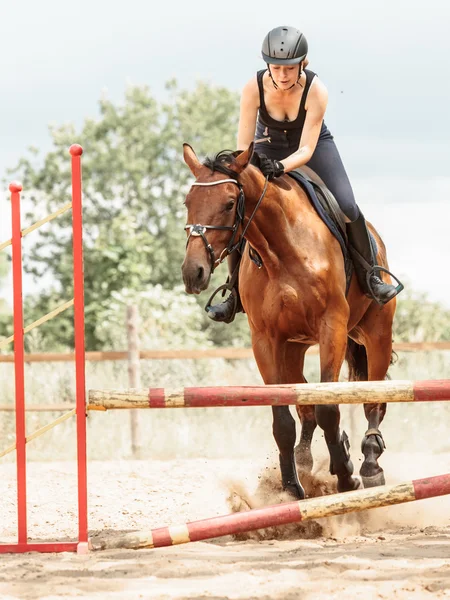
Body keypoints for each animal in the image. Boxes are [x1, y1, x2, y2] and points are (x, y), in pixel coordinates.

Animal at [181, 143, 396, 500]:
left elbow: (329, 408)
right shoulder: (265, 340)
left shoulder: (332, 328)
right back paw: (306, 461)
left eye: (229, 203)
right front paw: (292, 486)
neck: (281, 249)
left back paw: (369, 462)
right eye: (188, 203)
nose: (192, 272)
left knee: (374, 400)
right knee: (305, 406)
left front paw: (345, 477)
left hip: (377, 333)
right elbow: (283, 418)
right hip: (294, 347)